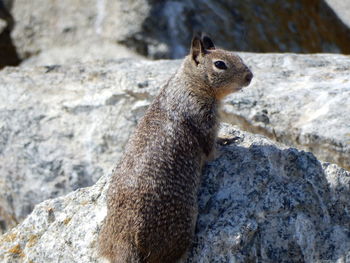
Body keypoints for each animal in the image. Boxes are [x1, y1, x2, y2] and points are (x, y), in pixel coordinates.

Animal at [97, 34, 253, 262]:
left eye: (238, 56)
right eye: (220, 64)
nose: (250, 76)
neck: (188, 84)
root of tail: (125, 244)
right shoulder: (205, 122)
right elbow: (212, 149)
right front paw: (228, 140)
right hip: (181, 227)